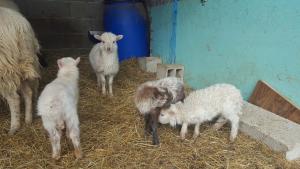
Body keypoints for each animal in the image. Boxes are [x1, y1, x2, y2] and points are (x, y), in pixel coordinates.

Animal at [0, 1, 40, 135]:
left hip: (6, 67)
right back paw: (28, 120)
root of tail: (19, 27)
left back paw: (14, 127)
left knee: (14, 98)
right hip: (22, 63)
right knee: (28, 92)